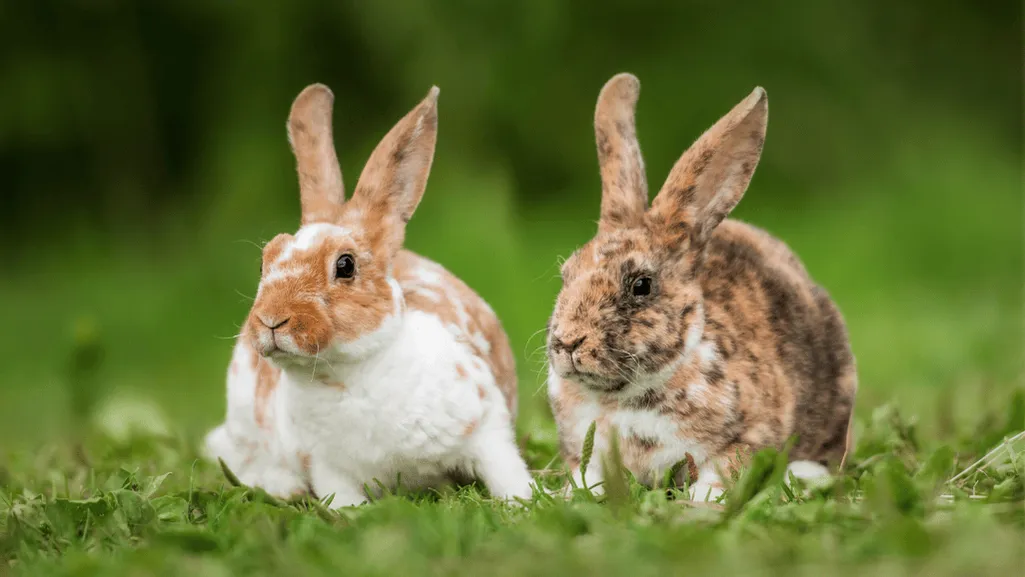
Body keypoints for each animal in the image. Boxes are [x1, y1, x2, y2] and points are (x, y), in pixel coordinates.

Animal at [204, 83, 535, 507]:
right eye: (264, 263)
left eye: (345, 265)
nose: (272, 320)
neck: (348, 375)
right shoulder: (326, 466)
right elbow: (343, 499)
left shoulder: (486, 429)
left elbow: (507, 472)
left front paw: (531, 498)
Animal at [546, 73, 857, 501]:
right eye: (567, 274)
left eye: (641, 285)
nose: (568, 341)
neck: (624, 397)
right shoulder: (588, 452)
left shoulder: (744, 441)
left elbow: (718, 477)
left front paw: (697, 508)